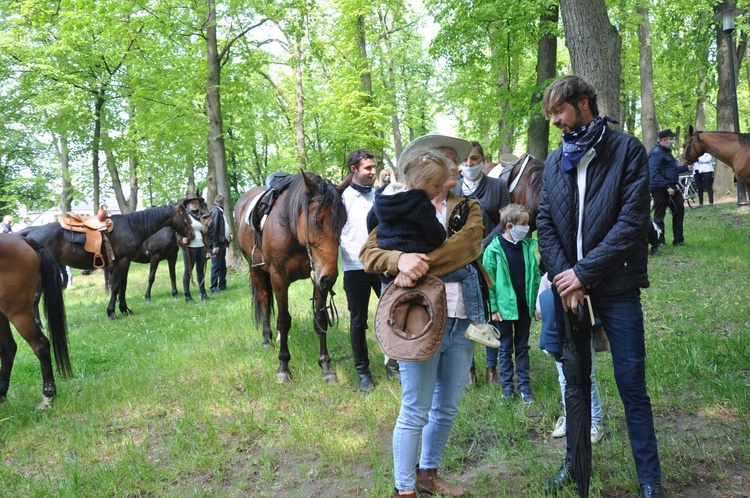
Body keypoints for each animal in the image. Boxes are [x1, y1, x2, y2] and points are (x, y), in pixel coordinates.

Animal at [22, 204, 194, 320]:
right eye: (186, 217)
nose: (192, 235)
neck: (131, 226)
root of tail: (28, 235)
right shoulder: (124, 261)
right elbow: (116, 286)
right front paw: (112, 312)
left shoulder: (124, 262)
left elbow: (122, 286)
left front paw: (125, 309)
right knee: (34, 298)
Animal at [236, 173, 348, 384]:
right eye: (316, 221)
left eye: (343, 222)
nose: (330, 279)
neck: (291, 229)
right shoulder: (279, 279)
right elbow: (284, 321)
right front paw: (283, 366)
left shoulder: (317, 276)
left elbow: (320, 319)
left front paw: (326, 365)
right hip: (255, 269)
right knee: (264, 300)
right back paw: (267, 339)